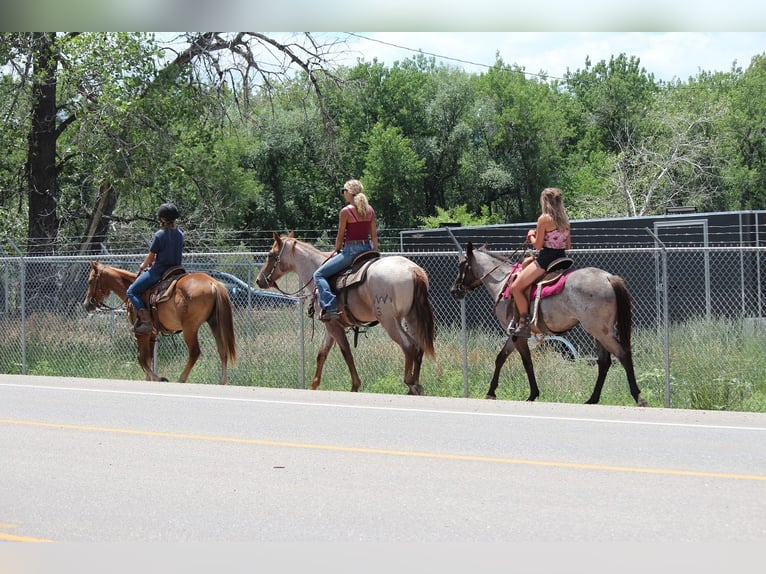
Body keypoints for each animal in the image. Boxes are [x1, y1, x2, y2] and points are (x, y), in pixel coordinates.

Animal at [83, 261, 237, 385]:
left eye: (90, 281)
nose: (87, 305)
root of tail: (213, 283)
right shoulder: (152, 334)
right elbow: (148, 357)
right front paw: (149, 379)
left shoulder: (141, 333)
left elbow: (142, 358)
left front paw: (158, 378)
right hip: (214, 323)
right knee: (222, 350)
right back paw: (222, 381)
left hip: (190, 328)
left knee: (195, 352)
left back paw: (181, 379)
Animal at [255, 232, 436, 395]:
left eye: (271, 255)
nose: (259, 280)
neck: (316, 272)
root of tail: (413, 270)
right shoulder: (330, 324)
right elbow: (322, 354)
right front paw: (313, 386)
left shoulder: (333, 326)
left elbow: (346, 353)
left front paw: (355, 386)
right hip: (412, 318)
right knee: (419, 347)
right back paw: (416, 384)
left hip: (389, 321)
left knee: (408, 346)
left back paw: (410, 382)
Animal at [450, 242, 646, 406]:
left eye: (462, 265)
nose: (454, 290)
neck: (504, 282)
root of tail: (608, 278)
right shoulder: (513, 334)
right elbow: (501, 358)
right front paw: (491, 391)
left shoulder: (517, 334)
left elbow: (526, 362)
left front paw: (532, 394)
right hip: (599, 332)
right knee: (604, 362)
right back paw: (592, 399)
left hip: (600, 331)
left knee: (623, 354)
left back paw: (637, 397)